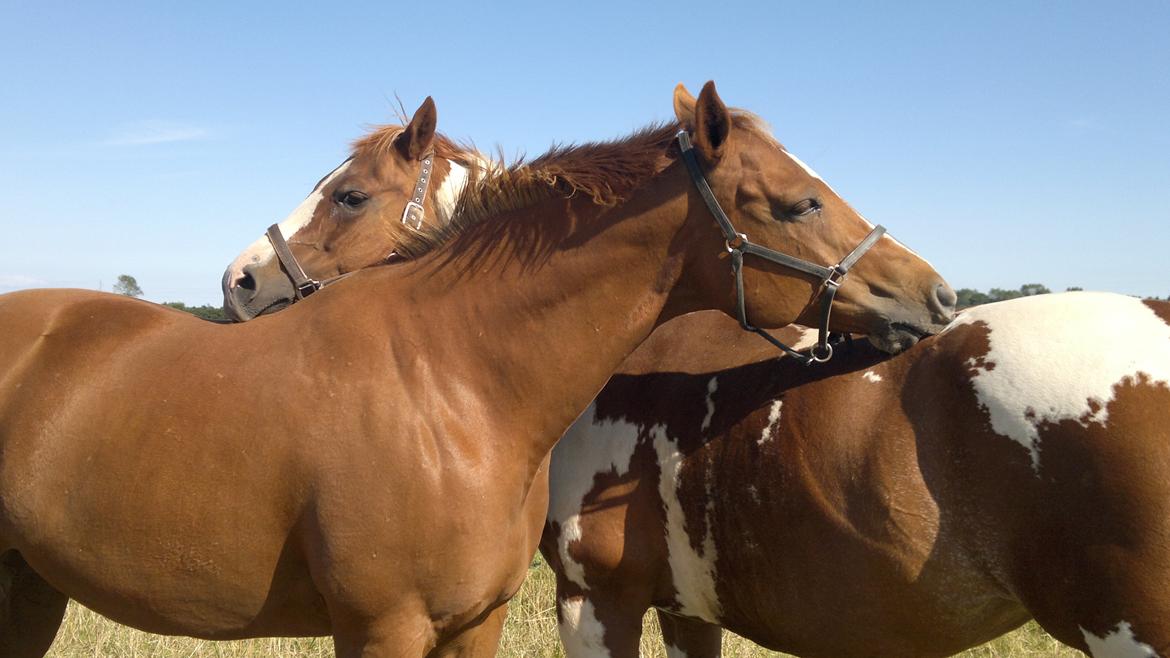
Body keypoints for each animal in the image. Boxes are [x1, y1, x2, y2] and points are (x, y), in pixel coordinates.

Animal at [0, 83, 950, 655]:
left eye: (349, 194)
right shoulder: (381, 629)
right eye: (800, 204)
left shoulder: (475, 622)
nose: (933, 295)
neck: (450, 383)